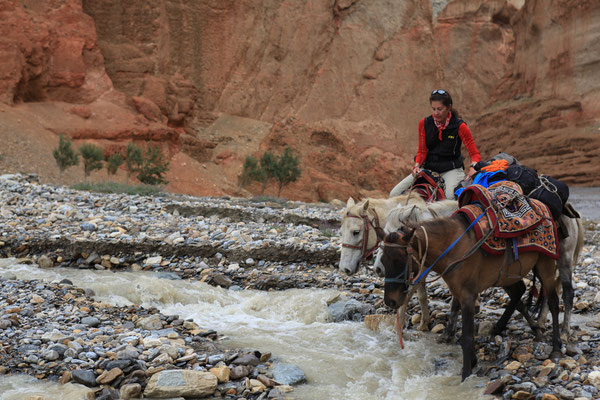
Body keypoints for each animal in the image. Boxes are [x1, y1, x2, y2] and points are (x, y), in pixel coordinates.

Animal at [380, 216, 564, 382]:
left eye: (399, 260)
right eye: (382, 260)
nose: (390, 301)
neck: (453, 248)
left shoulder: (468, 296)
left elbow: (467, 337)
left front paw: (466, 374)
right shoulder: (458, 292)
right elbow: (462, 324)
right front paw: (472, 361)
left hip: (546, 266)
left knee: (553, 302)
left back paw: (556, 348)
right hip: (508, 275)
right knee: (519, 293)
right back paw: (503, 328)